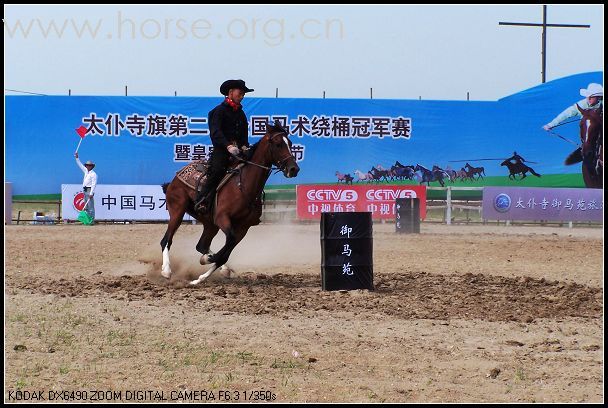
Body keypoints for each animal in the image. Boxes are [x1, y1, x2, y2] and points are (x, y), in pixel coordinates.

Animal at [158, 122, 298, 286]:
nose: (294, 169)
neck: (244, 187)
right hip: (177, 211)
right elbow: (227, 244)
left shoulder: (243, 227)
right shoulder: (223, 218)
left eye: (290, 144)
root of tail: (176, 177)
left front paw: (202, 273)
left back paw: (220, 267)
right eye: (277, 144)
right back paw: (166, 271)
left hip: (210, 223)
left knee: (201, 245)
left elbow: (225, 253)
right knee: (166, 240)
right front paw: (207, 263)